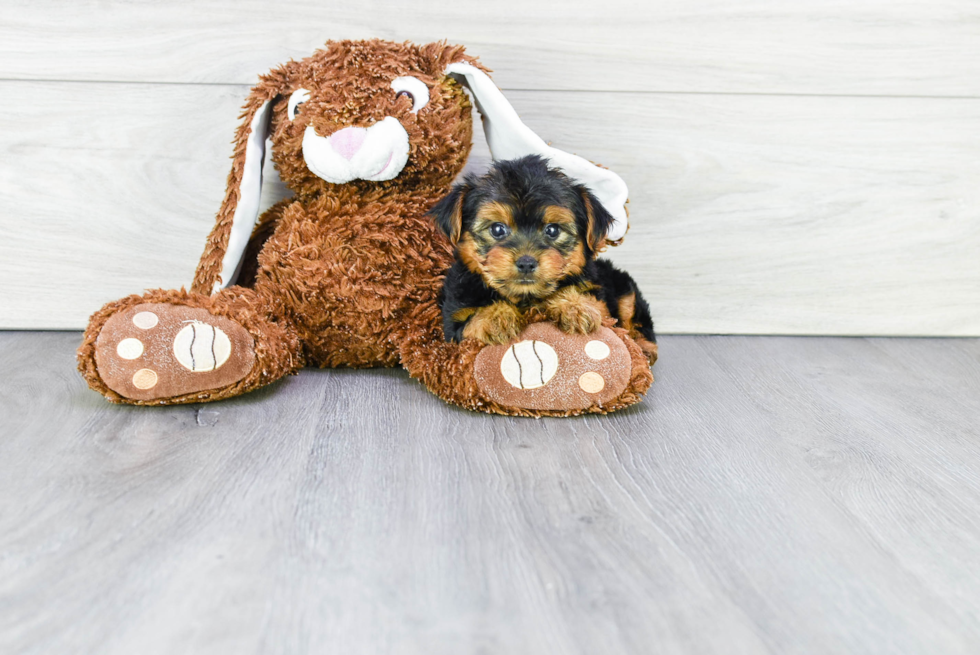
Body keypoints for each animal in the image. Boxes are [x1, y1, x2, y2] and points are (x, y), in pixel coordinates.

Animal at [428, 154, 660, 364]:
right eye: (497, 229)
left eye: (552, 230)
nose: (526, 262)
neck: (525, 298)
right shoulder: (453, 321)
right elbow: (470, 323)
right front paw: (496, 317)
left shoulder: (601, 305)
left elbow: (588, 303)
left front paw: (575, 307)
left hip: (625, 289)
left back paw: (644, 349)